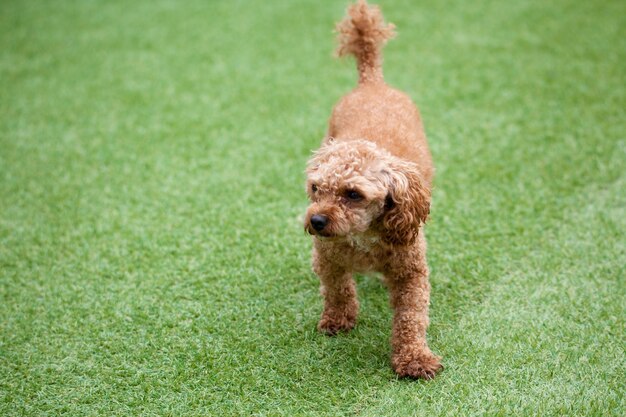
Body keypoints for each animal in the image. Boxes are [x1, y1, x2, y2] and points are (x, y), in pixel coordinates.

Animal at [302, 0, 438, 376]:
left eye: (354, 195)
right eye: (316, 188)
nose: (316, 221)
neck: (363, 238)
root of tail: (371, 81)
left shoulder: (412, 272)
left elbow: (411, 317)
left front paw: (414, 358)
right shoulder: (327, 257)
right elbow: (337, 290)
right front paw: (337, 321)